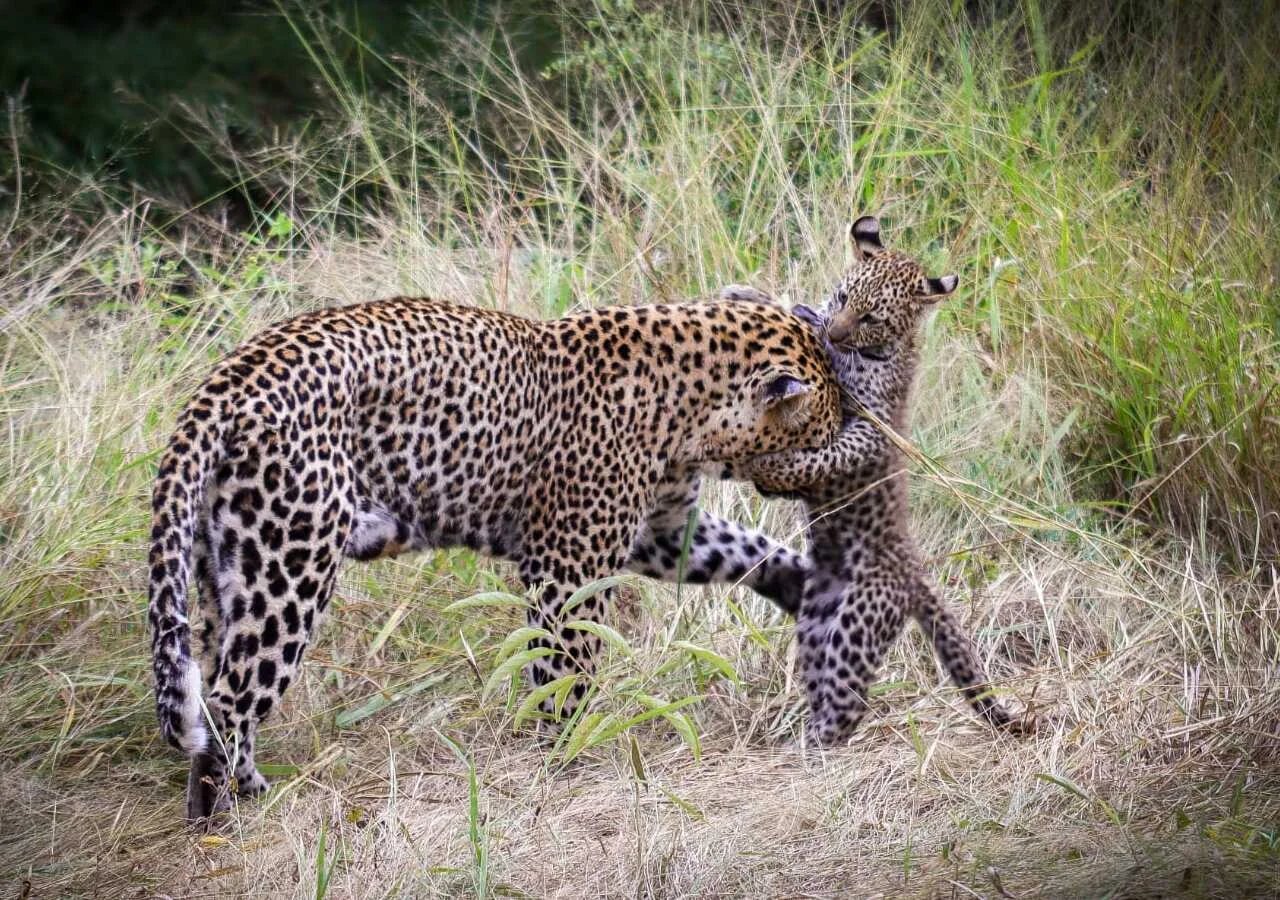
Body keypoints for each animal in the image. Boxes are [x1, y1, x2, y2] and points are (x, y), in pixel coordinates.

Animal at [148, 294, 844, 822]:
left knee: (211, 682)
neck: (693, 407)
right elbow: (565, 668)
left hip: (226, 566)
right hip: (290, 565)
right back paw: (239, 803)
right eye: (823, 430)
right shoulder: (570, 559)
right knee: (231, 696)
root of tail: (227, 380)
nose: (839, 471)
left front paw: (811, 589)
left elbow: (747, 549)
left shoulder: (664, 531)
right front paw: (565, 755)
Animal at [725, 216, 1021, 746]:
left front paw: (772, 469)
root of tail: (913, 568)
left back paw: (812, 746)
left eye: (871, 319)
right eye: (843, 298)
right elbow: (801, 318)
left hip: (861, 621)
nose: (838, 331)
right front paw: (749, 294)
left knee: (848, 701)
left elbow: (826, 456)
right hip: (818, 618)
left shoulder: (870, 427)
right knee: (822, 677)